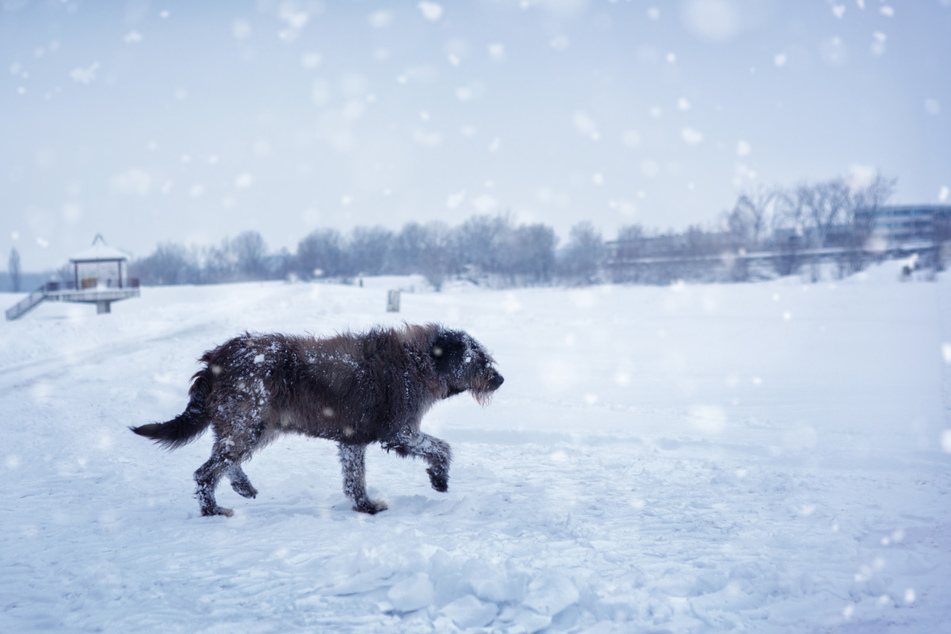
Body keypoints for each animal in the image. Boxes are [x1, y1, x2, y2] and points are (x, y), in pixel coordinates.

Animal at [134, 320, 510, 512]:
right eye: (478, 359)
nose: (500, 379)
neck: (418, 360)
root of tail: (218, 356)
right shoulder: (398, 430)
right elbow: (441, 448)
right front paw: (439, 478)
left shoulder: (353, 439)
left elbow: (354, 478)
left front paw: (364, 506)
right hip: (247, 421)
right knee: (206, 472)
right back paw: (213, 509)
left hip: (255, 425)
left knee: (226, 462)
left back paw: (243, 488)